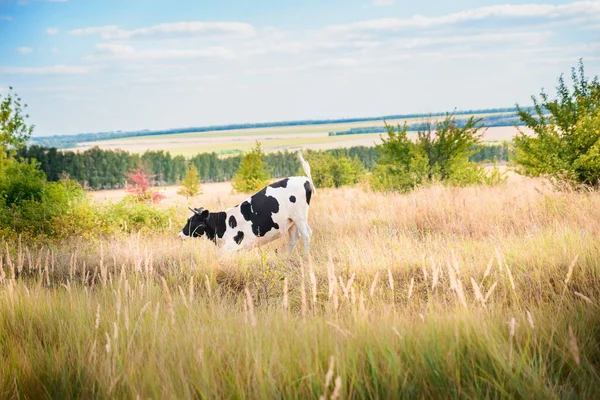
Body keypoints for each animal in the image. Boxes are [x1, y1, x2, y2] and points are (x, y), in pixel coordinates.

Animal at [178, 150, 316, 253]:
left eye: (192, 221)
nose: (179, 235)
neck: (222, 224)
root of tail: (304, 179)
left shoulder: (231, 246)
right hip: (291, 221)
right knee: (294, 238)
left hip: (299, 217)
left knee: (306, 235)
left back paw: (306, 257)